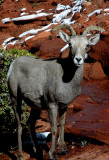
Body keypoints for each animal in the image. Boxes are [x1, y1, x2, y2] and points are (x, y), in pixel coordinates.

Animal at [6, 24, 104, 159]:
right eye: (70, 45)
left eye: (86, 46)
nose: (78, 59)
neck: (66, 78)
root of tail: (13, 65)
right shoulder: (52, 105)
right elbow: (53, 128)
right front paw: (52, 154)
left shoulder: (64, 106)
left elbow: (62, 124)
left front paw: (63, 149)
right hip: (15, 98)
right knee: (19, 125)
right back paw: (20, 155)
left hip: (35, 106)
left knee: (30, 123)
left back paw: (38, 152)